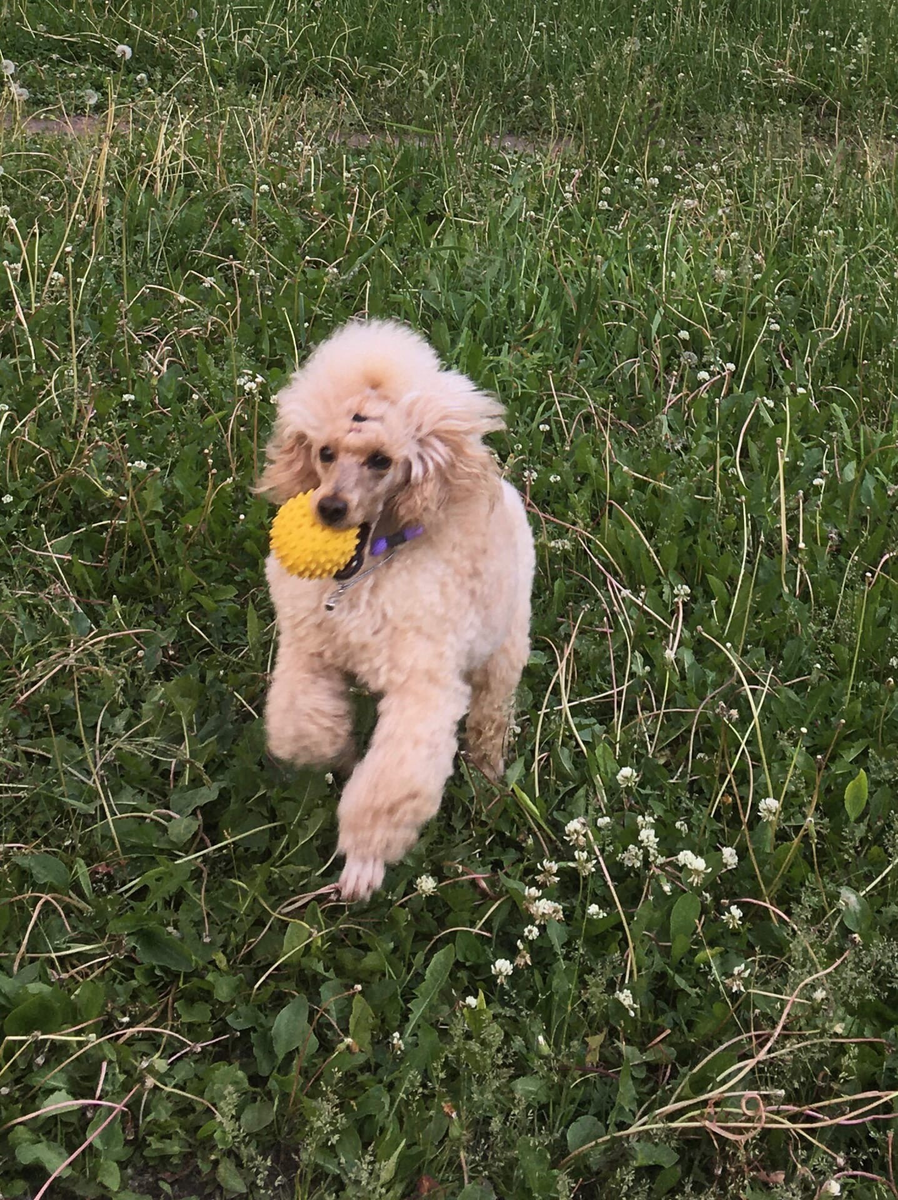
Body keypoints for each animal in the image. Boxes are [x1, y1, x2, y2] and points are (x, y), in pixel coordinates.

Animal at [255, 321, 533, 902]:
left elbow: (391, 782)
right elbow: (303, 728)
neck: (365, 577)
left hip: (504, 646)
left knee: (490, 717)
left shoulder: (421, 691)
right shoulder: (310, 653)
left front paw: (363, 861)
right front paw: (340, 755)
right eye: (325, 452)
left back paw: (490, 778)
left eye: (381, 460)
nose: (329, 509)